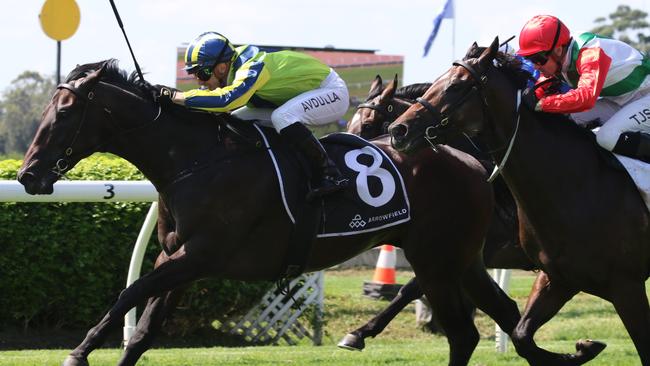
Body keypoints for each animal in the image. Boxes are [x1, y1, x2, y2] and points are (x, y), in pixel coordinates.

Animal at [388, 38, 644, 364]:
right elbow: (522, 335)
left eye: (456, 86)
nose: (398, 130)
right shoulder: (558, 279)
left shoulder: (628, 287)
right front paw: (581, 350)